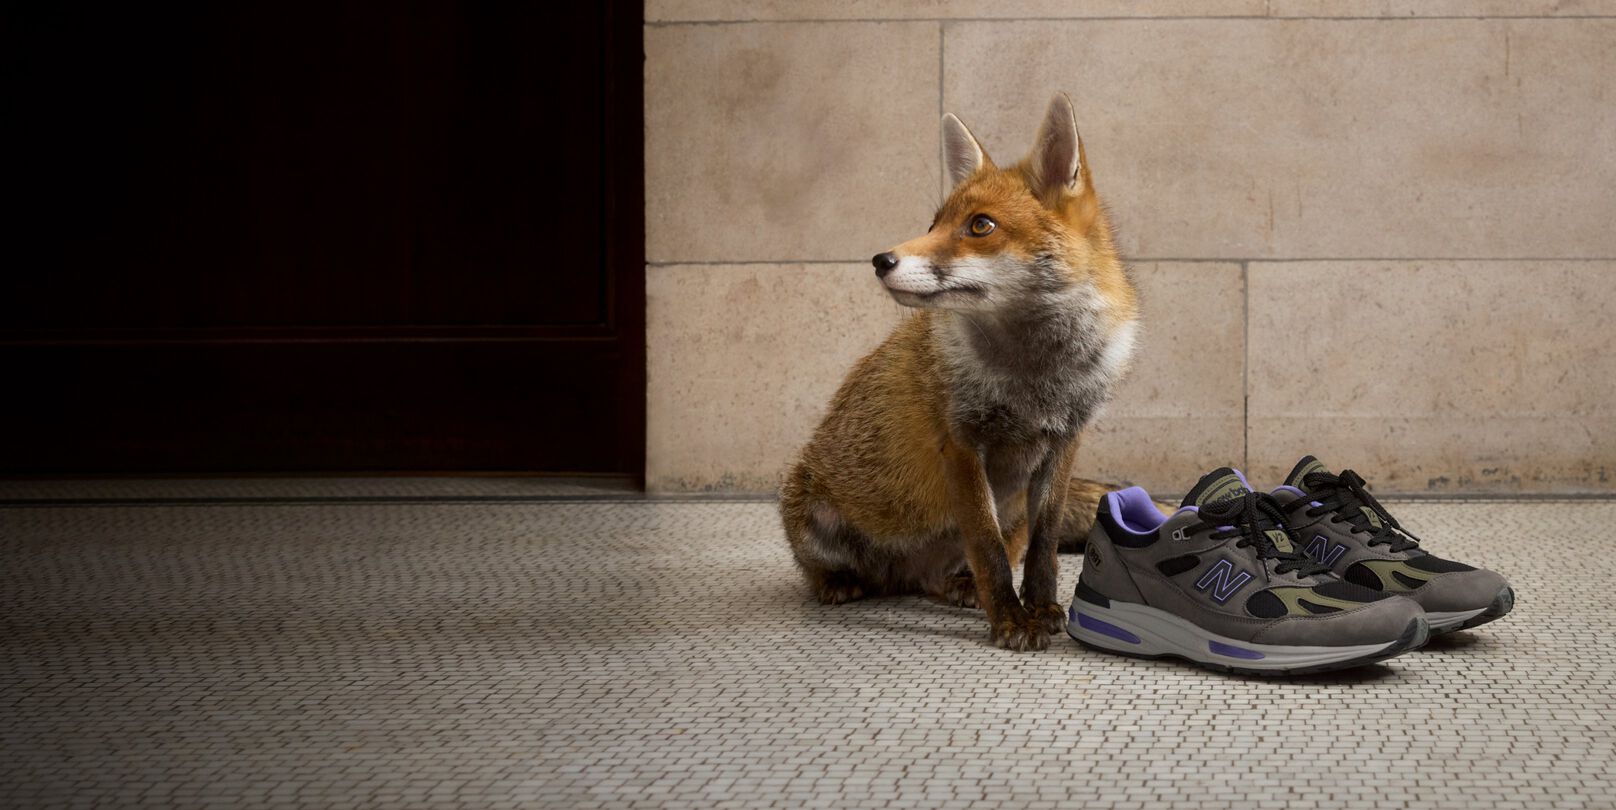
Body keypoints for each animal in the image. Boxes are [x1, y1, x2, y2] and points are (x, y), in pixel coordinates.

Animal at [779, 93, 1140, 651]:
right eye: (933, 225)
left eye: (980, 226)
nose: (881, 259)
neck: (1035, 378)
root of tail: (903, 575)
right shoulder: (963, 442)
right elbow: (988, 550)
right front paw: (1011, 621)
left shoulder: (1064, 443)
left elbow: (1041, 549)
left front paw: (1040, 609)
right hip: (810, 510)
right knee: (829, 569)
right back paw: (840, 582)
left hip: (1009, 511)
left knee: (962, 568)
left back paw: (958, 585)